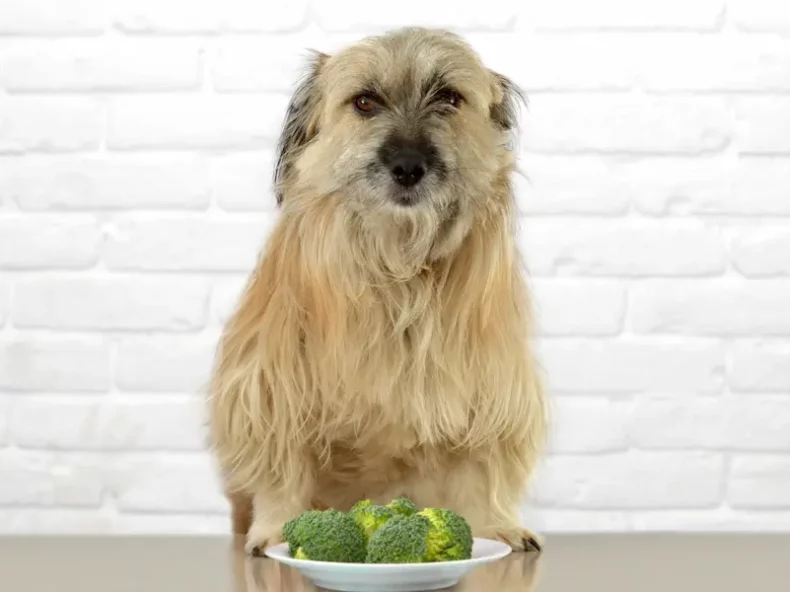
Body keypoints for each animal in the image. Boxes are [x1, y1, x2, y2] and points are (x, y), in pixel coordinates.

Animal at [207, 26, 548, 556]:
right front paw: (275, 530)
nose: (408, 167)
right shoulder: (270, 388)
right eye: (365, 101)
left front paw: (496, 527)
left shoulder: (492, 390)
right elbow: (282, 468)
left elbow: (482, 465)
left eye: (449, 97)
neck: (399, 269)